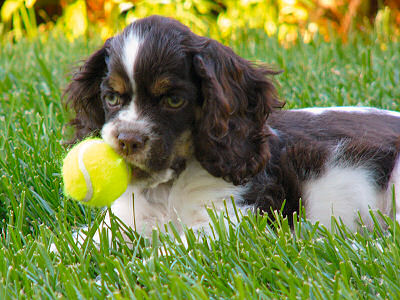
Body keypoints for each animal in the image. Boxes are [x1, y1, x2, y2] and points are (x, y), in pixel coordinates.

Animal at [65, 15, 400, 239]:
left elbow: (173, 252)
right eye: (111, 98)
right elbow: (86, 241)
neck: (168, 188)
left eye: (174, 101)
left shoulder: (232, 219)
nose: (127, 140)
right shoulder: (126, 218)